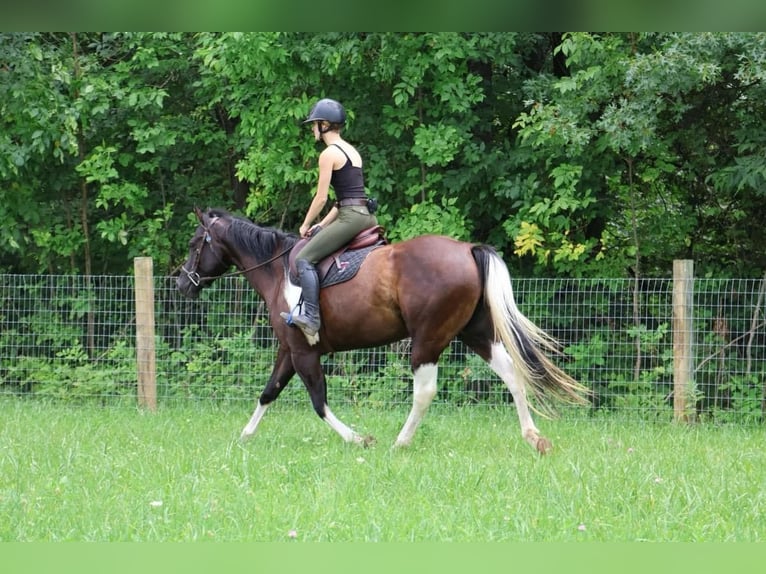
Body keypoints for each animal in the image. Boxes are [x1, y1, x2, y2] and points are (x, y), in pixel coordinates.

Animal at [176, 207, 589, 454]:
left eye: (196, 243)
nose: (181, 284)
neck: (278, 271)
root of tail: (468, 249)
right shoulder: (289, 350)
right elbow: (268, 392)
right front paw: (245, 436)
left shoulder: (305, 352)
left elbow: (318, 402)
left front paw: (359, 438)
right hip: (476, 333)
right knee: (512, 373)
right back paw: (533, 437)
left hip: (428, 339)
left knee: (424, 391)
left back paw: (400, 442)